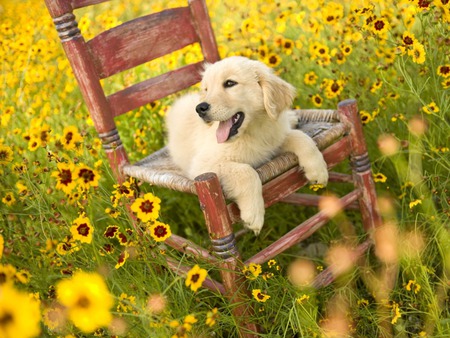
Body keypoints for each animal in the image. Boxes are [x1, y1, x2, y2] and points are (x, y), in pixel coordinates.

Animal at [167, 56, 328, 235]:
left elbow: (302, 137)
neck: (251, 132)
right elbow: (247, 172)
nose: (200, 108)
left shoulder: (273, 141)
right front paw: (253, 214)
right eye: (206, 89)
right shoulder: (203, 165)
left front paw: (318, 171)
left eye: (230, 83)